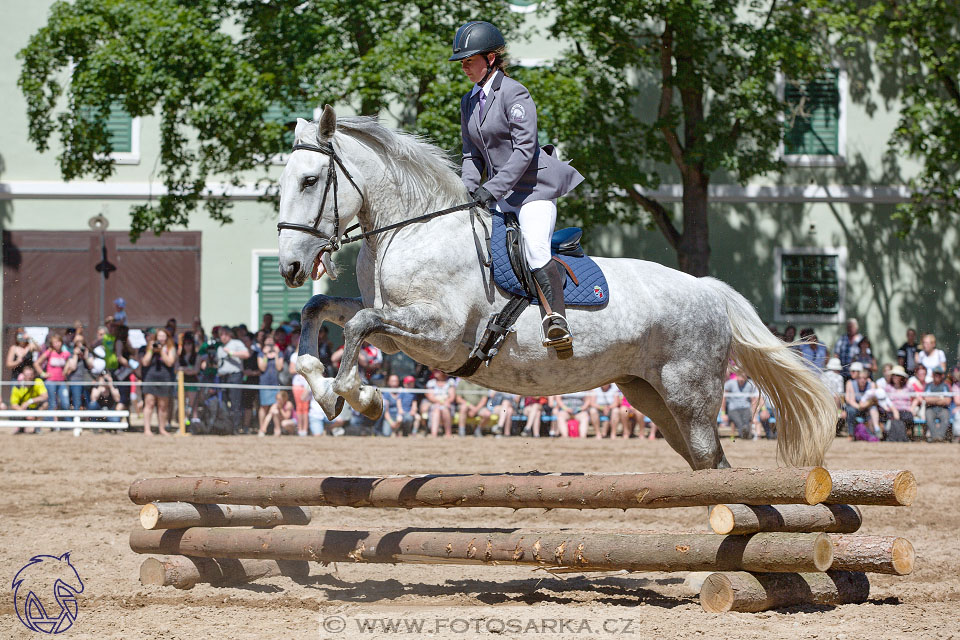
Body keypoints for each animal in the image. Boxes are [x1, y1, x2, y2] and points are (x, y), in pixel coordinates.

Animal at [276, 107, 832, 470]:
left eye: (310, 181)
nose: (290, 267)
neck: (412, 229)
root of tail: (708, 290)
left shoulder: (439, 335)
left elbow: (358, 327)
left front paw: (359, 397)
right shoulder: (397, 332)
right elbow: (322, 311)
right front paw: (324, 387)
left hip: (688, 393)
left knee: (713, 462)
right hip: (649, 394)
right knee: (703, 462)